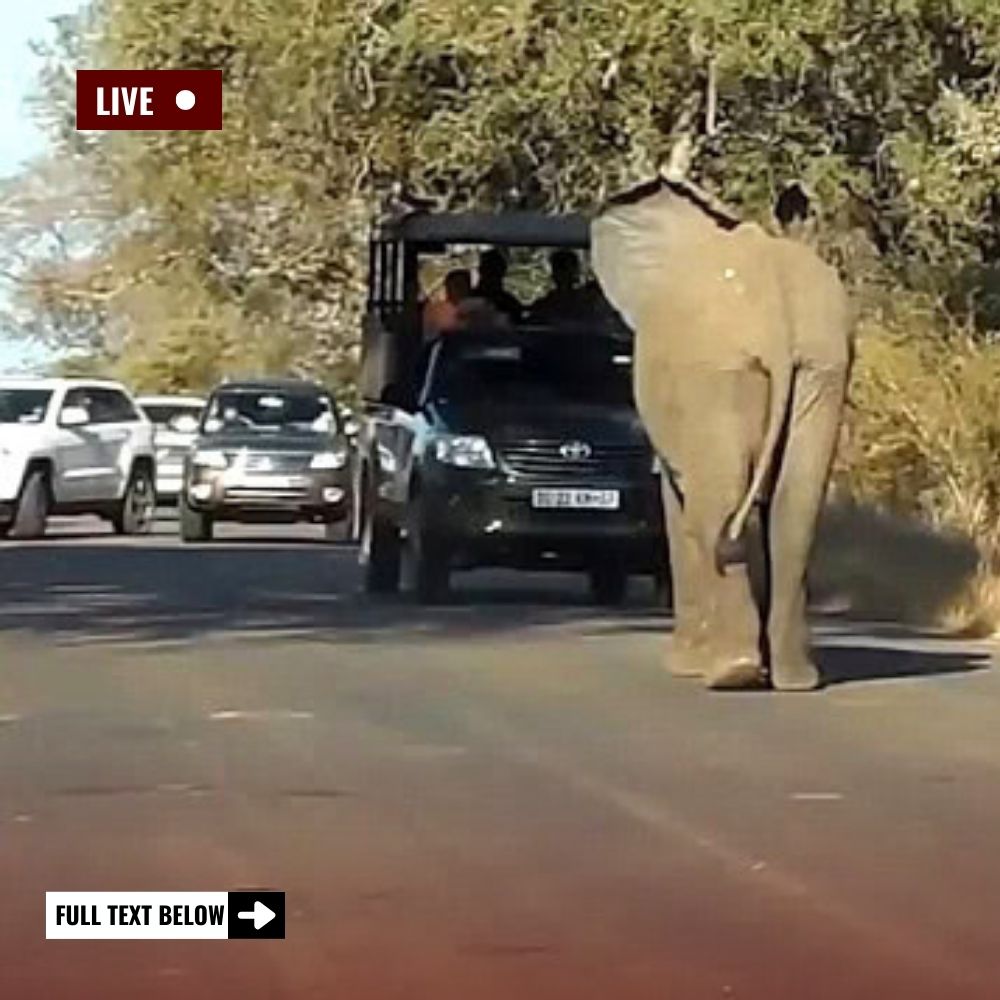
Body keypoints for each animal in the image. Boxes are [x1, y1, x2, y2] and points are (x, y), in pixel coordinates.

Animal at [588, 178, 856, 688]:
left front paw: (684, 666)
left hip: (717, 372)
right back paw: (792, 679)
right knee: (795, 510)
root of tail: (776, 315)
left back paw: (732, 673)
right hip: (823, 367)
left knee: (714, 505)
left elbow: (677, 508)